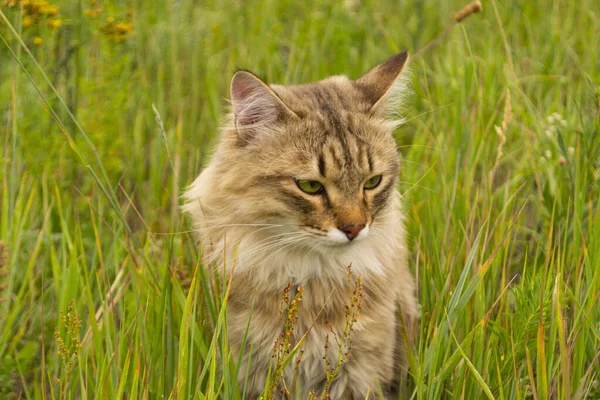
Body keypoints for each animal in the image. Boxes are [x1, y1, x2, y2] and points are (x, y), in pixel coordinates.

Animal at [185, 51, 420, 398]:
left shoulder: (361, 372)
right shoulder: (248, 369)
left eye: (372, 182)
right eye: (310, 186)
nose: (355, 228)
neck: (311, 280)